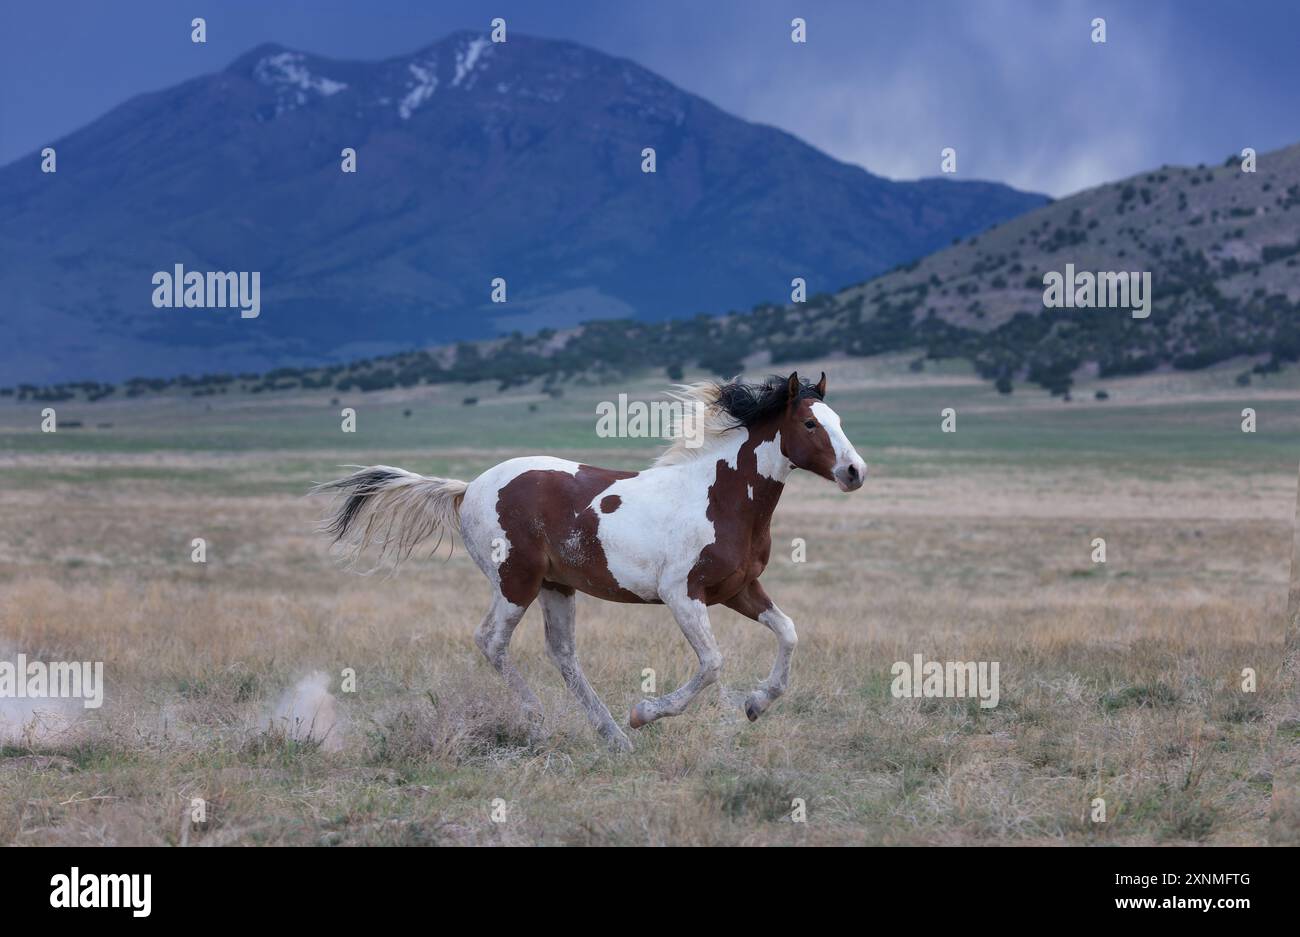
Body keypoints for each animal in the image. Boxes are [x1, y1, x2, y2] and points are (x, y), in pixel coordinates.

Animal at [312, 369, 863, 748]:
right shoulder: (681, 594)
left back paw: (611, 735)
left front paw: (755, 704)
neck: (720, 496)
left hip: (557, 586)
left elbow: (788, 631)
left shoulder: (739, 590)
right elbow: (711, 663)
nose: (856, 471)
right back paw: (540, 721)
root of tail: (468, 488)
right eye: (810, 423)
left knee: (562, 654)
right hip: (515, 581)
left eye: (839, 421)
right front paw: (645, 712)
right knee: (491, 641)